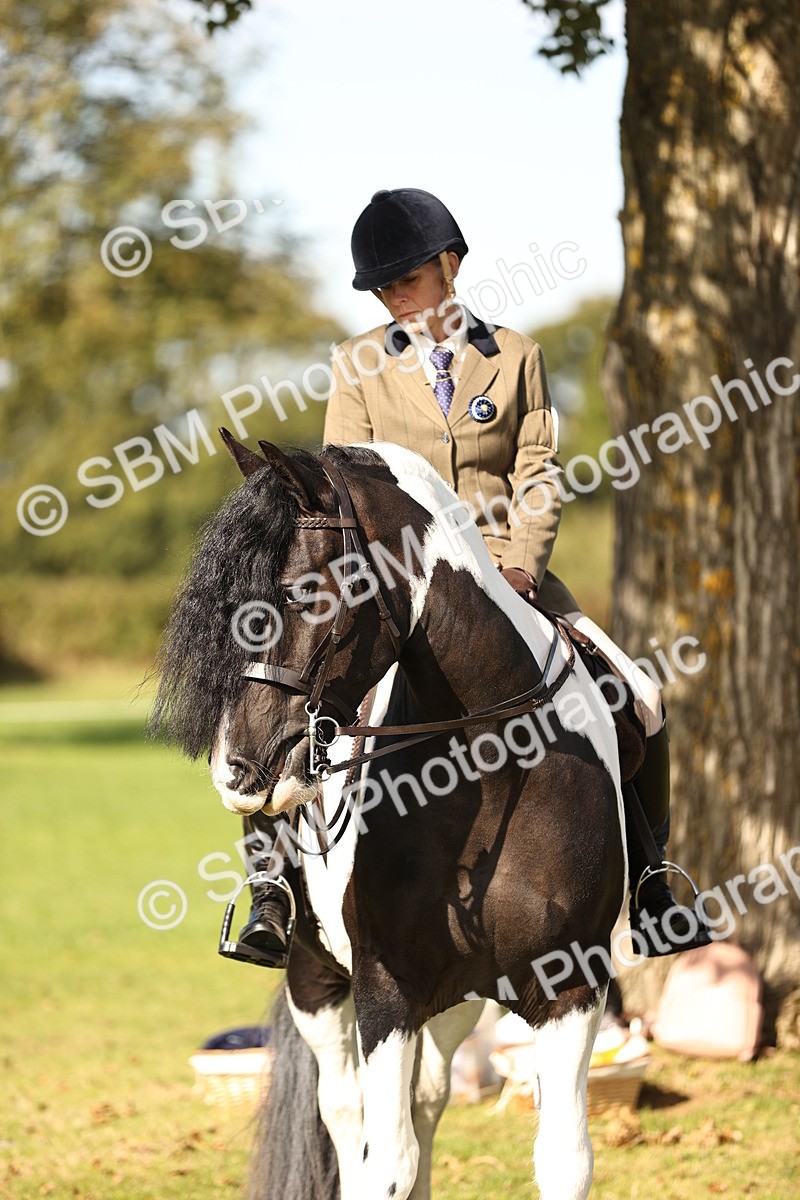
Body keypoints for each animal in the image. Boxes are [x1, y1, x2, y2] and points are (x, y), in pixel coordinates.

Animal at [150, 431, 645, 1200]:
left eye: (299, 593)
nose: (235, 772)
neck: (490, 764)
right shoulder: (385, 991)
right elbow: (385, 1160)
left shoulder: (570, 987)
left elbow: (563, 1157)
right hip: (316, 981)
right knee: (346, 1112)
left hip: (460, 996)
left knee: (429, 1097)